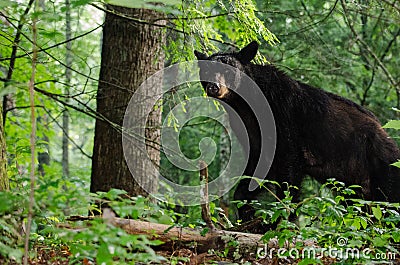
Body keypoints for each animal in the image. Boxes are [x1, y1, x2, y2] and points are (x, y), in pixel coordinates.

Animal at [195, 41, 400, 222]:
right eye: (206, 71)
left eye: (228, 70)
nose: (214, 87)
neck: (246, 106)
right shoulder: (252, 135)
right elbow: (255, 172)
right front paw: (247, 214)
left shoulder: (284, 118)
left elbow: (289, 173)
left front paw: (282, 220)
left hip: (382, 163)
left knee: (388, 200)